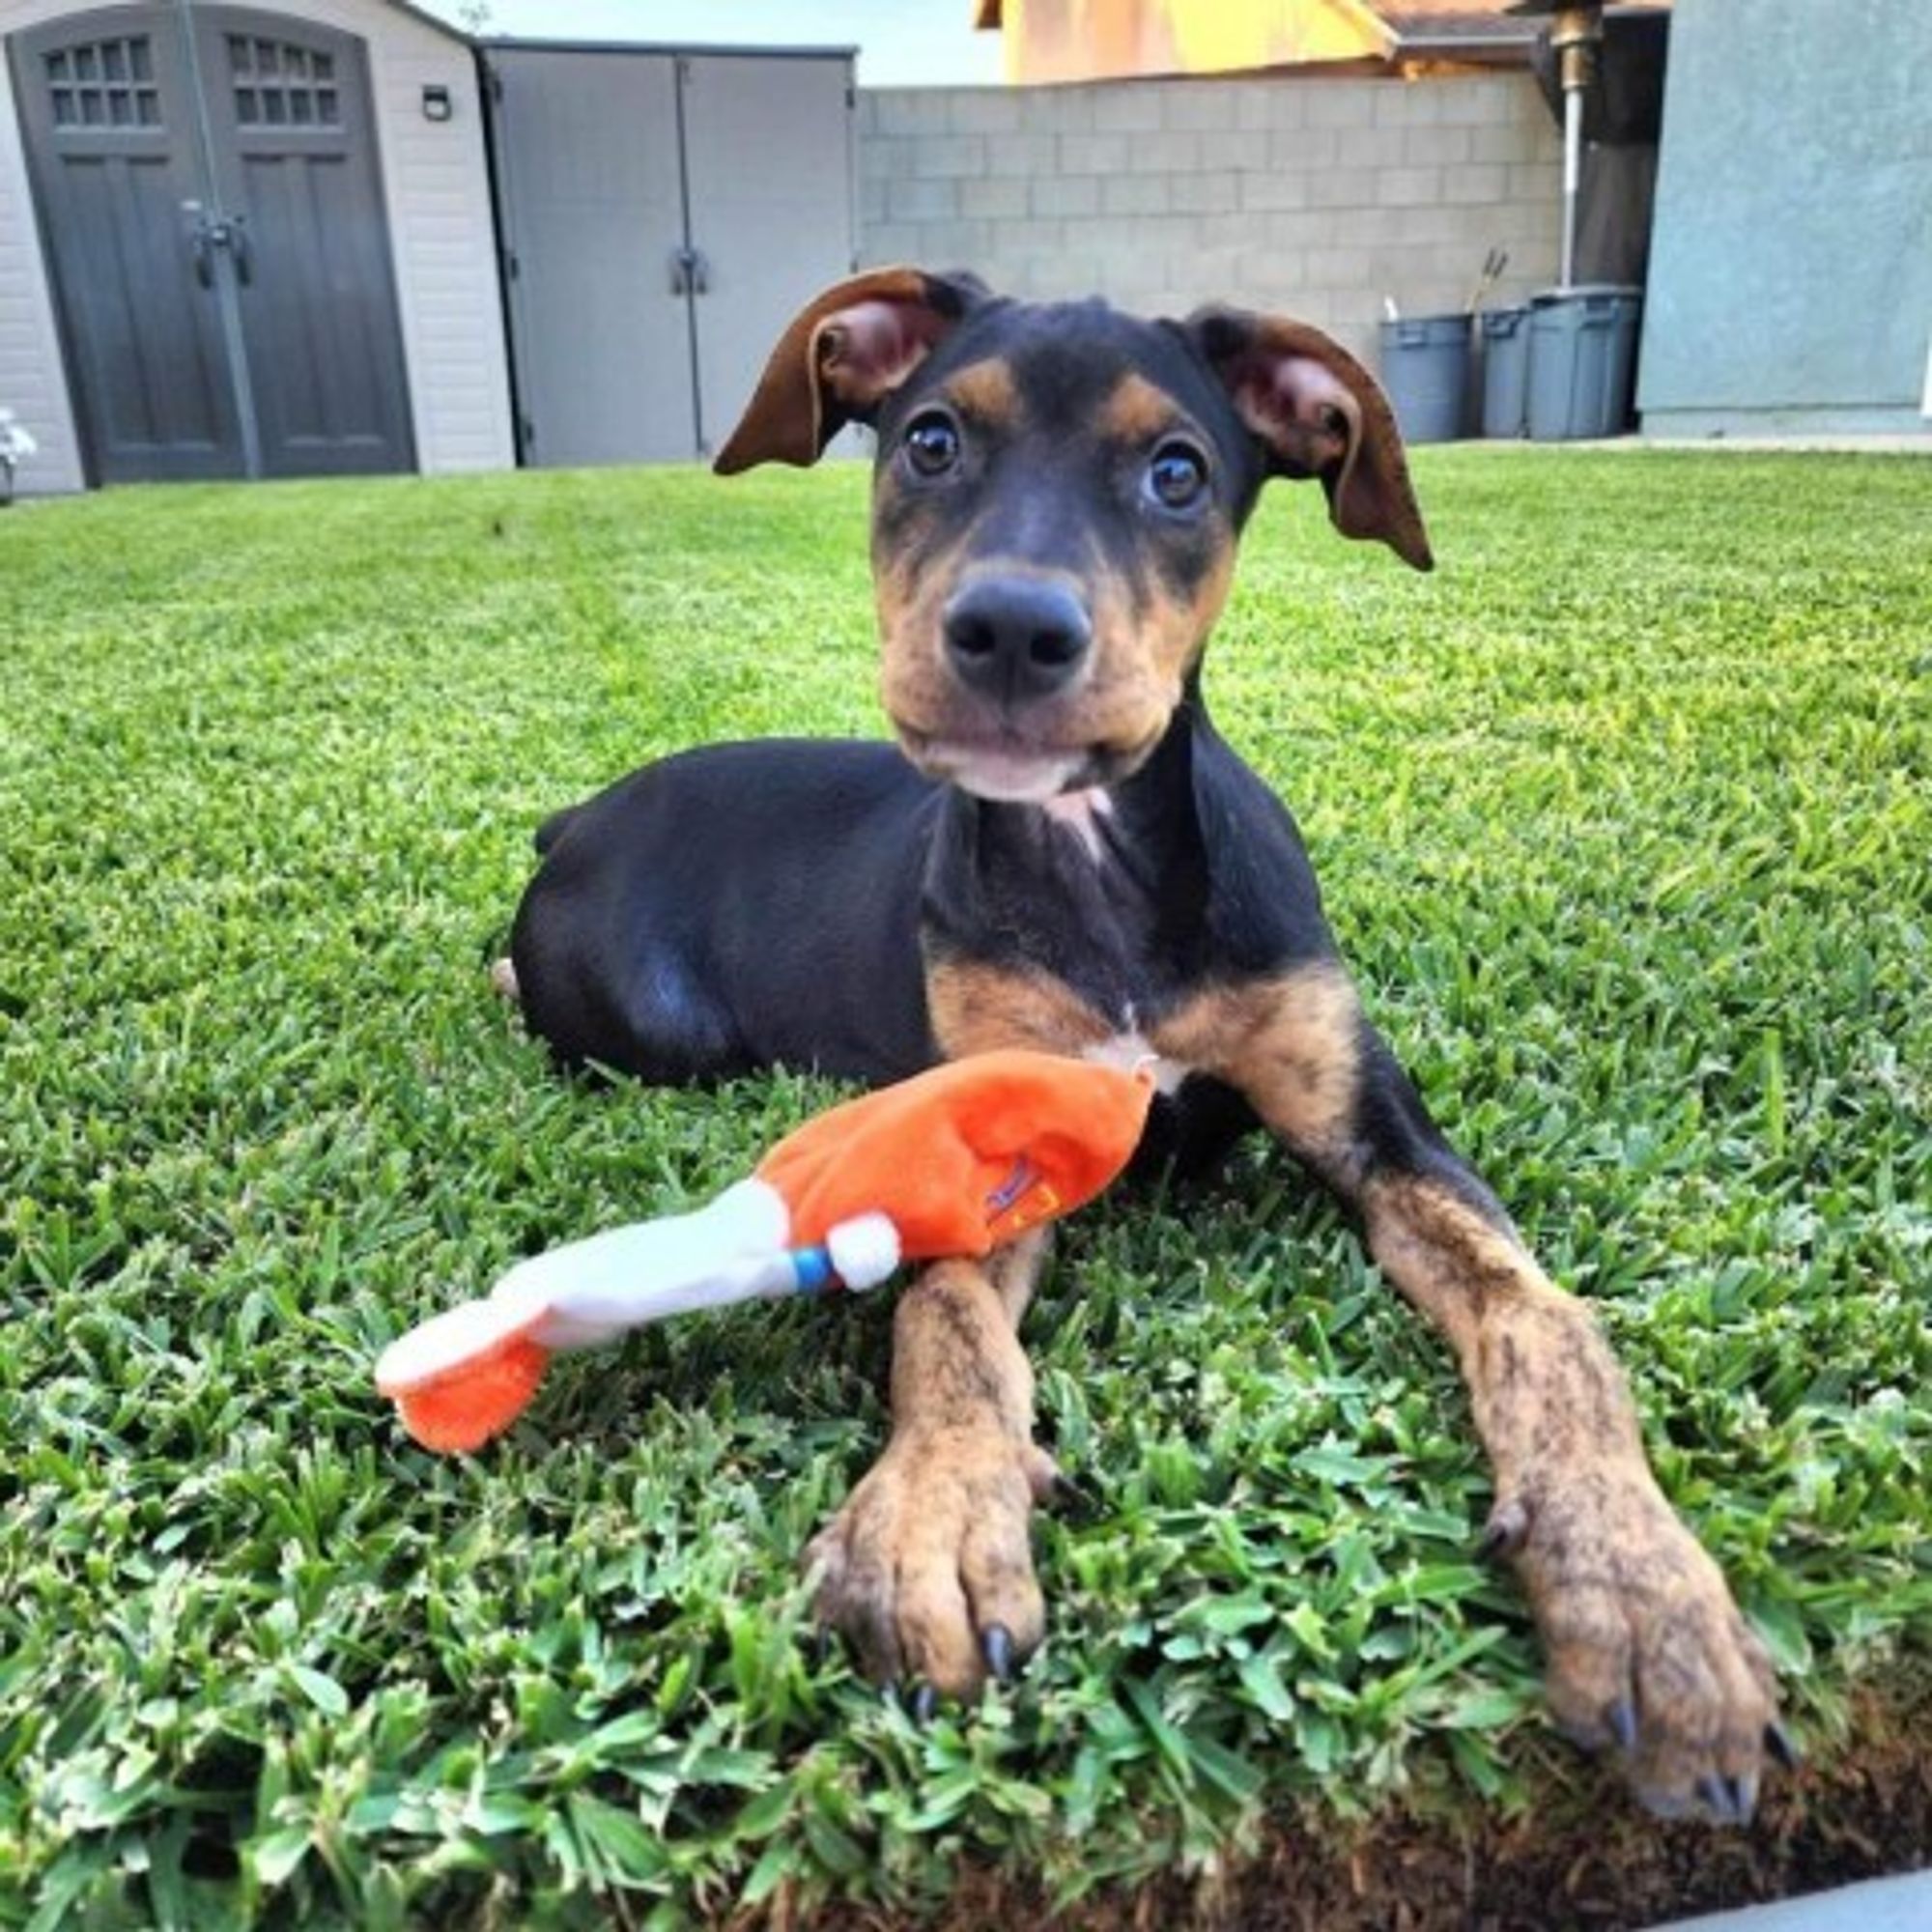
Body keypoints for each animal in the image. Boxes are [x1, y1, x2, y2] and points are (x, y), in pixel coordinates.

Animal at [506, 272, 1785, 1824]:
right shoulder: (984, 1146)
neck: (1100, 871)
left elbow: (1545, 1320)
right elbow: (945, 1323)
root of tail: (579, 813)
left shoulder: (1383, 1135)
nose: (1010, 631)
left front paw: (1644, 1593)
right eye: (930, 441)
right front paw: (932, 1519)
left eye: (1177, 472)